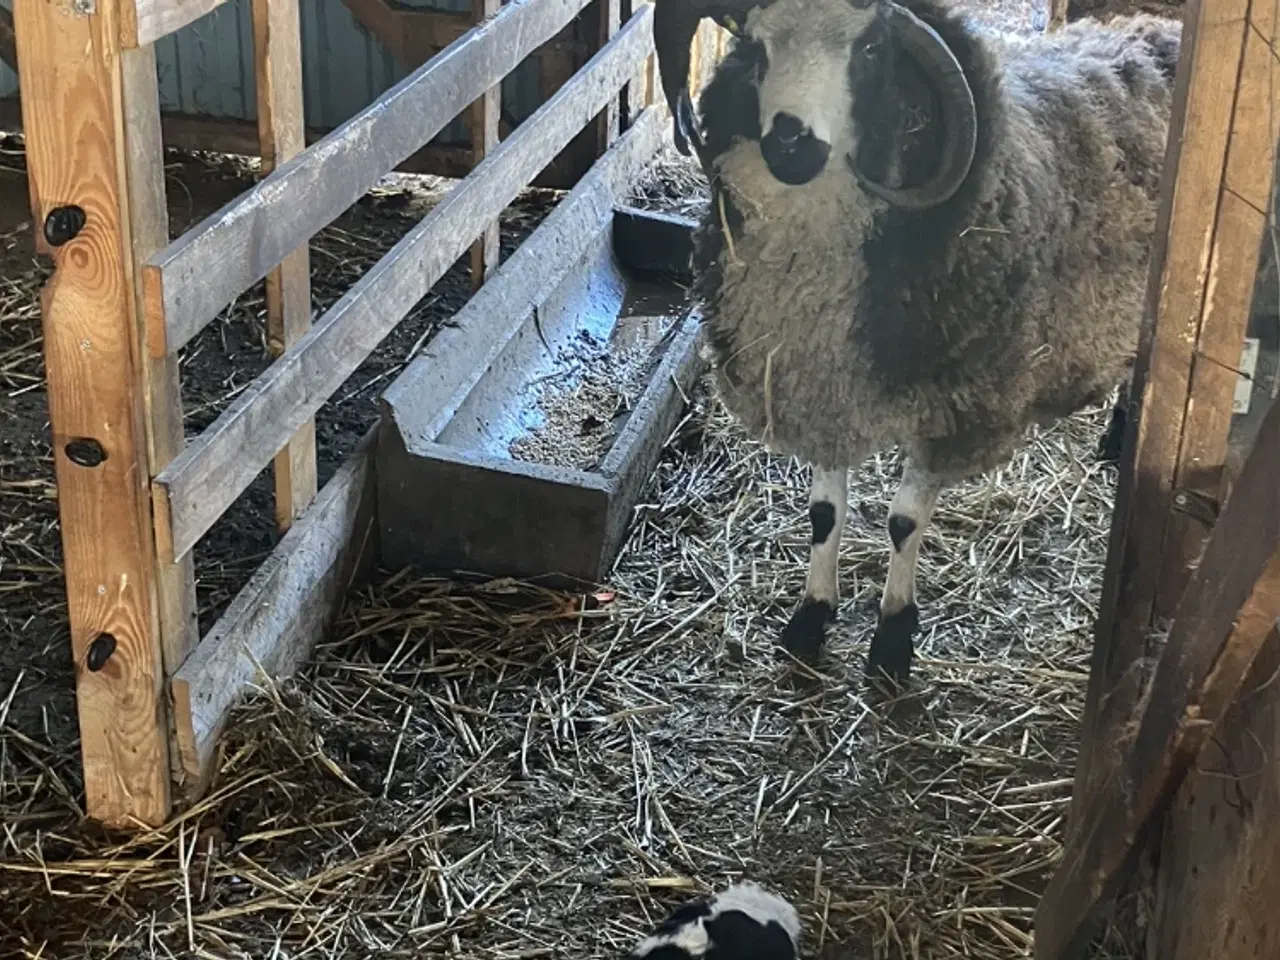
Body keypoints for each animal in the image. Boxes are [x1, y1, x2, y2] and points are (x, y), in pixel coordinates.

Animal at [650, 0, 1177, 686]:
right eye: (754, 48)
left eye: (870, 51)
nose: (790, 144)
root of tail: (1159, 30)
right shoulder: (825, 387)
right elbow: (824, 513)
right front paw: (811, 617)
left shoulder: (951, 408)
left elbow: (904, 522)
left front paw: (893, 636)